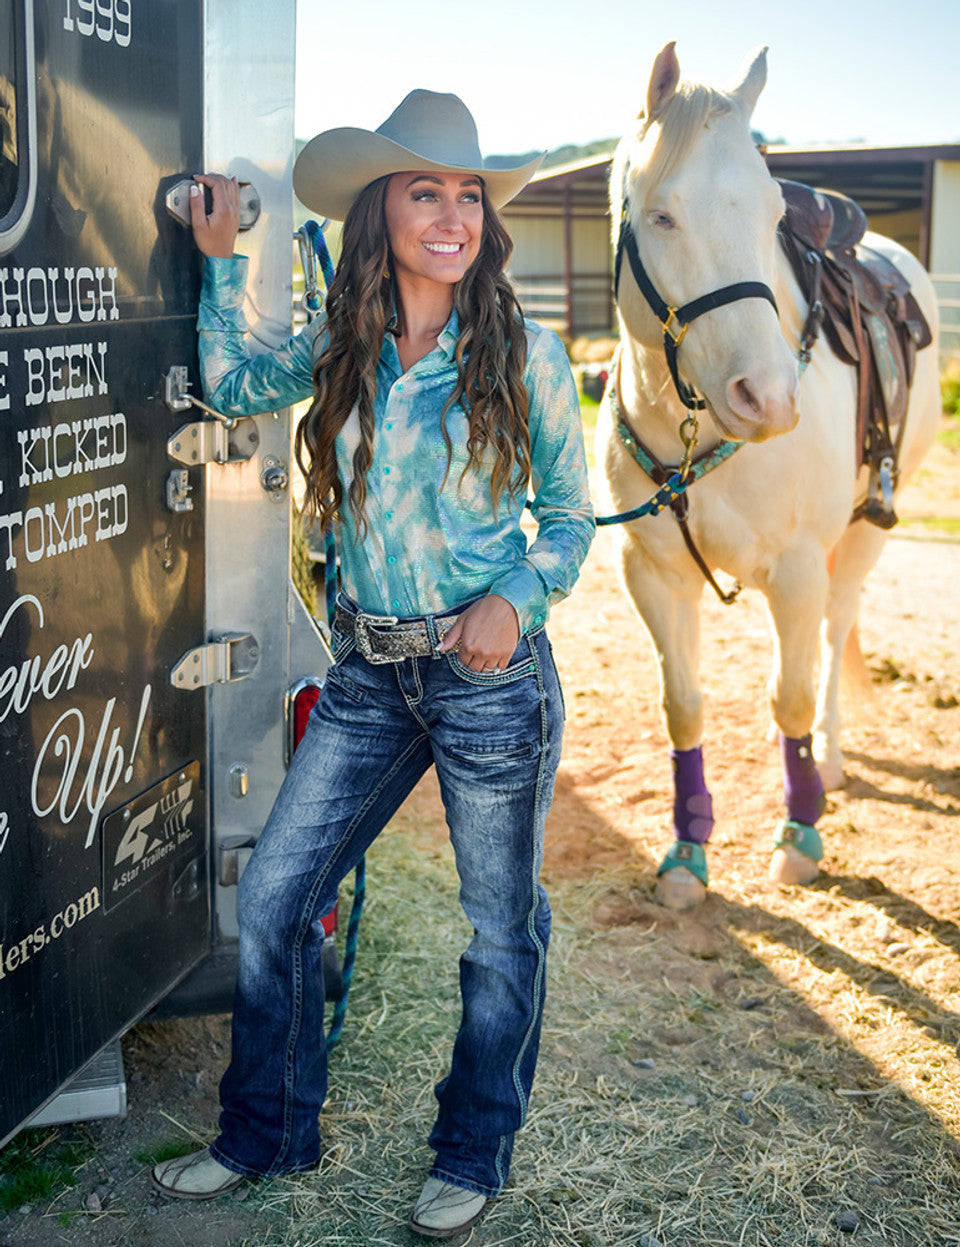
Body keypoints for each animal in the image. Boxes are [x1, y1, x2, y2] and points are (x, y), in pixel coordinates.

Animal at [593, 43, 937, 912]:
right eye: (661, 215)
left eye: (772, 214)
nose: (769, 397)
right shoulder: (652, 574)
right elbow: (683, 707)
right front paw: (689, 848)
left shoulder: (796, 568)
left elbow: (792, 695)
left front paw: (799, 832)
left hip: (861, 532)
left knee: (838, 630)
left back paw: (833, 759)